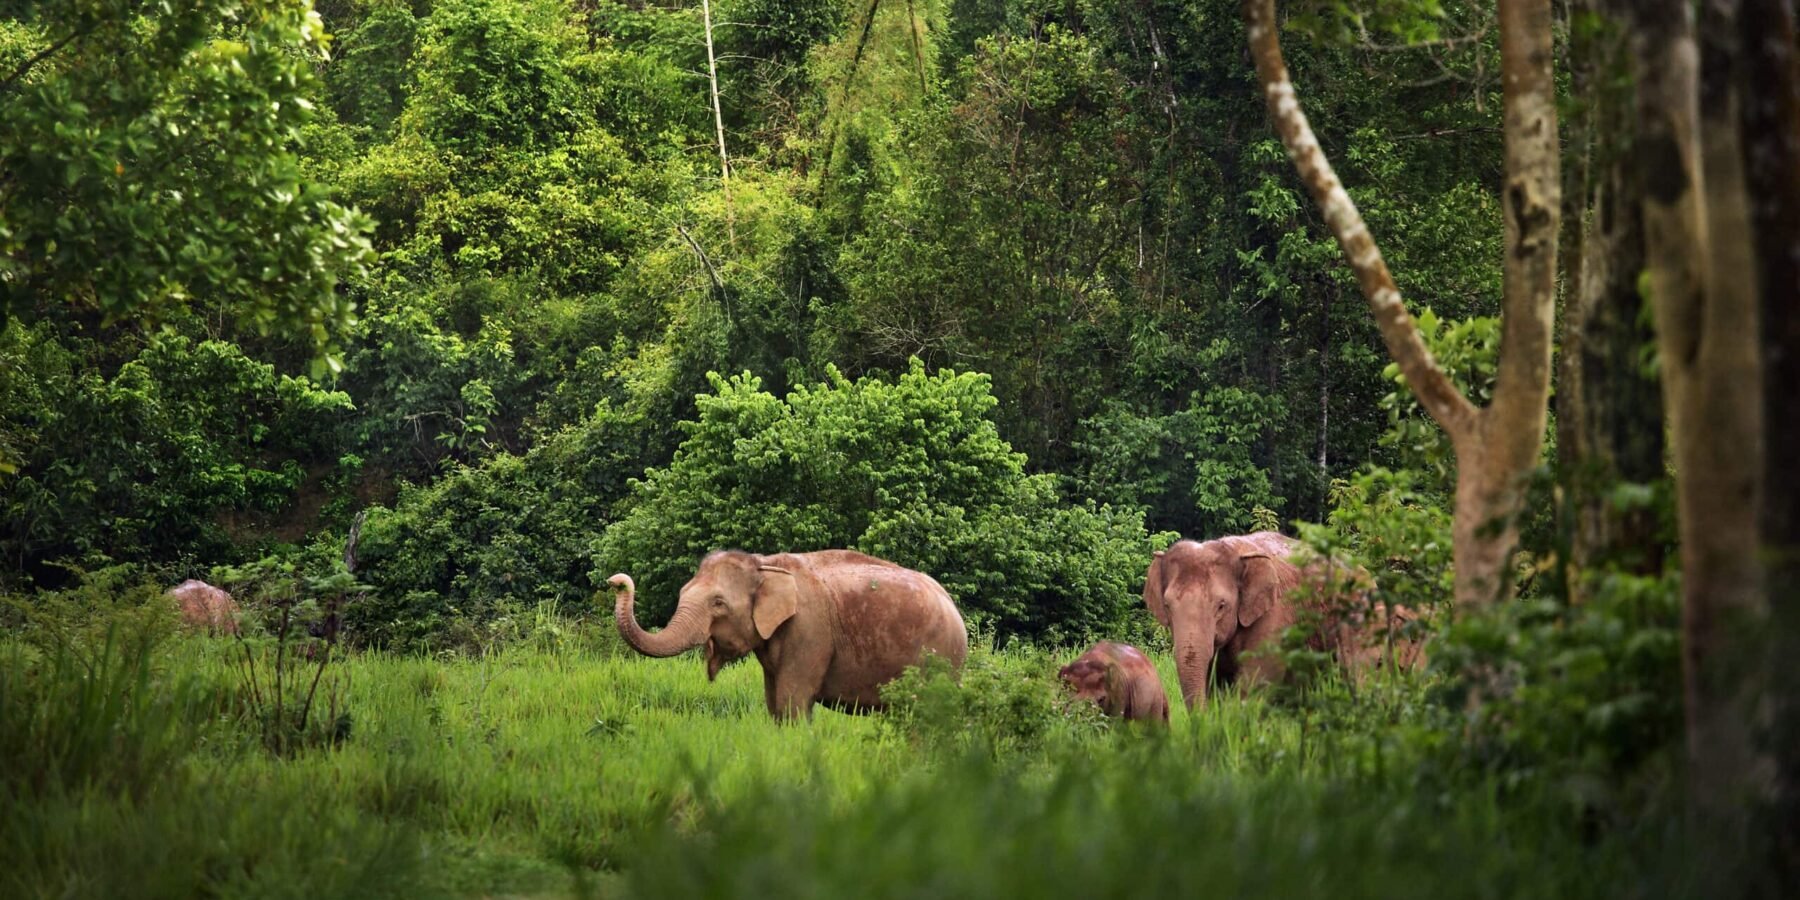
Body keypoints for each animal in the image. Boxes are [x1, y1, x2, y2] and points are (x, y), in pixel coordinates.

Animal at [608, 543, 972, 720]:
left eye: (718, 603)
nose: (615, 581)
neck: (765, 564)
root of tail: (954, 609)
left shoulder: (809, 630)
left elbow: (792, 700)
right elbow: (773, 703)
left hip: (939, 657)